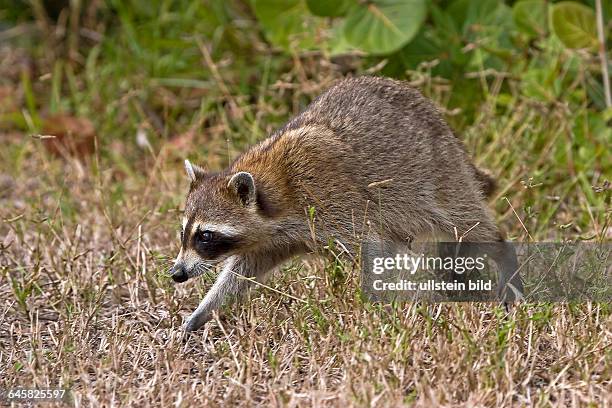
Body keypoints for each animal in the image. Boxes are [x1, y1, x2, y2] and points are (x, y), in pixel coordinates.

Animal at [170, 75, 524, 332]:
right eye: (183, 233)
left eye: (205, 236)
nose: (177, 273)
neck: (273, 188)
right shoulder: (273, 239)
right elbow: (241, 273)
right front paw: (203, 311)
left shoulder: (334, 202)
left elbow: (375, 250)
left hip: (438, 176)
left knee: (467, 224)